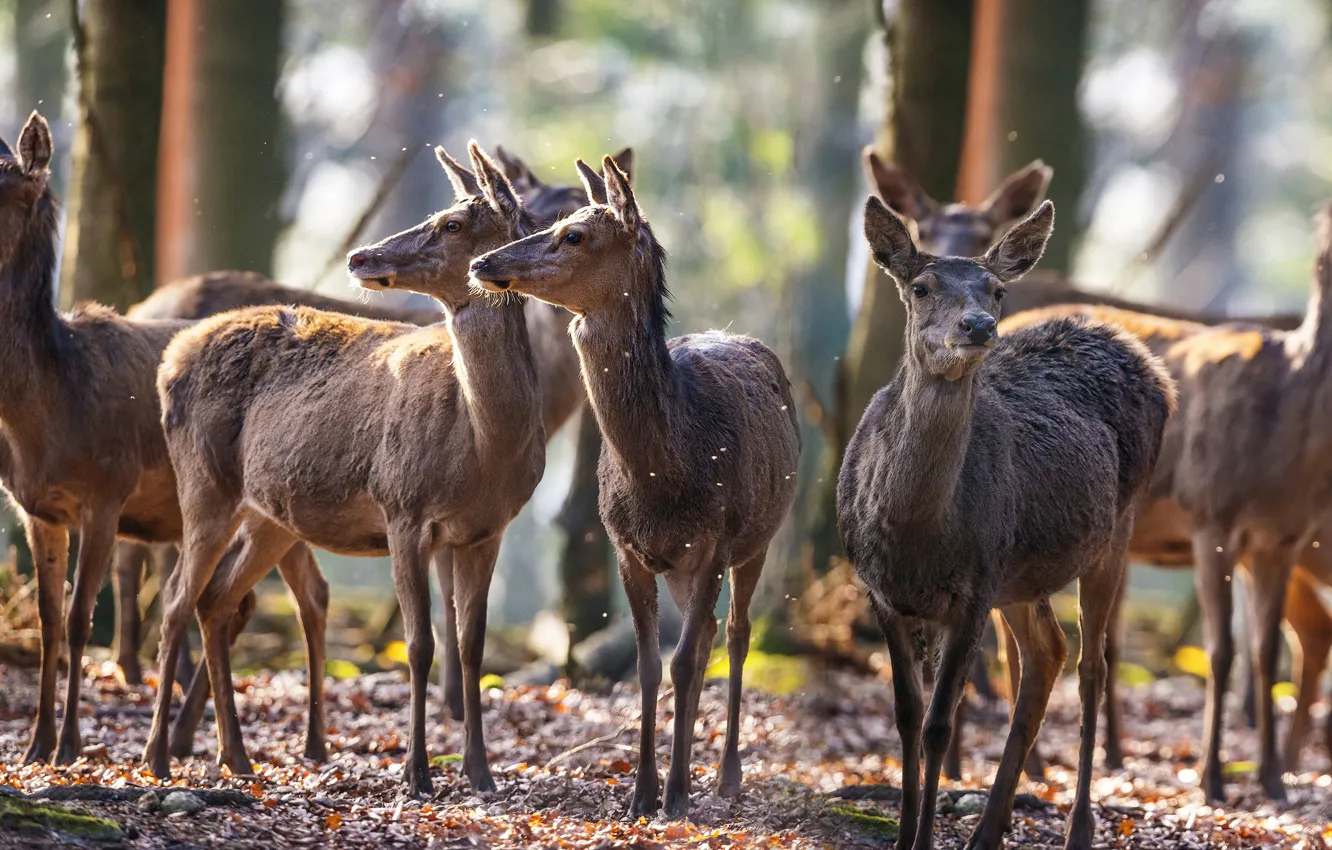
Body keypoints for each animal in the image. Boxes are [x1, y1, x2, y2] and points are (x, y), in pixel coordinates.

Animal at [116, 145, 629, 746]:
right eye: (538, 212)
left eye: (572, 219)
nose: (361, 256)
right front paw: (447, 716)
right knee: (176, 577)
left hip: (265, 507)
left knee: (221, 590)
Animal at [469, 156, 801, 818]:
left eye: (573, 234)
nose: (483, 263)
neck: (666, 477)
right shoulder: (627, 547)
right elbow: (650, 667)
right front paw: (644, 792)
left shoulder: (715, 543)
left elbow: (686, 662)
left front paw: (673, 795)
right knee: (704, 644)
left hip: (759, 537)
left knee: (736, 635)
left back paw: (725, 776)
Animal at [838, 196, 1175, 850]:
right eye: (921, 286)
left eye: (996, 290)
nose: (977, 326)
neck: (915, 536)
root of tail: (1151, 363)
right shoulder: (880, 591)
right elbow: (906, 717)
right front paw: (902, 835)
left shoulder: (973, 590)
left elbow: (940, 723)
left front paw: (923, 838)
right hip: (1019, 572)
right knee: (1046, 653)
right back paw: (989, 829)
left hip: (1112, 531)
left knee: (1090, 665)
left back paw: (1078, 827)